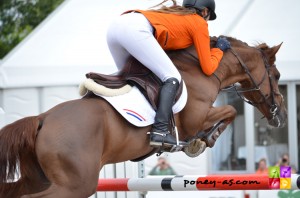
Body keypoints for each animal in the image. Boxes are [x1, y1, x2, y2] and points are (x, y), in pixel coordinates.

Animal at [0, 37, 286, 198]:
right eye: (277, 76)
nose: (281, 116)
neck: (204, 70)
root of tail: (42, 119)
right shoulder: (195, 119)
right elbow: (229, 112)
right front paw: (202, 141)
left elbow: (228, 113)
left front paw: (203, 140)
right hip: (76, 185)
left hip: (38, 179)